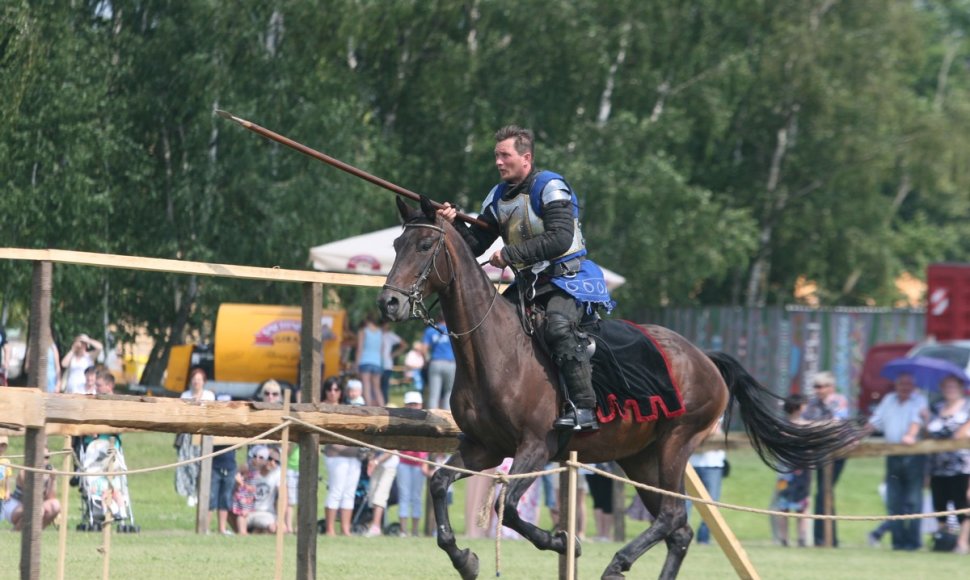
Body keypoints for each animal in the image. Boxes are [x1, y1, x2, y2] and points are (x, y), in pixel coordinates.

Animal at [378, 197, 864, 576]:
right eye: (397, 244)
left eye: (425, 245)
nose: (389, 302)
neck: (496, 349)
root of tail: (706, 359)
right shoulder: (484, 448)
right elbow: (440, 484)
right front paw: (465, 558)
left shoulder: (534, 446)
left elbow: (507, 508)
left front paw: (564, 541)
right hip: (640, 458)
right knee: (680, 530)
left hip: (676, 444)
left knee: (672, 516)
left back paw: (617, 563)